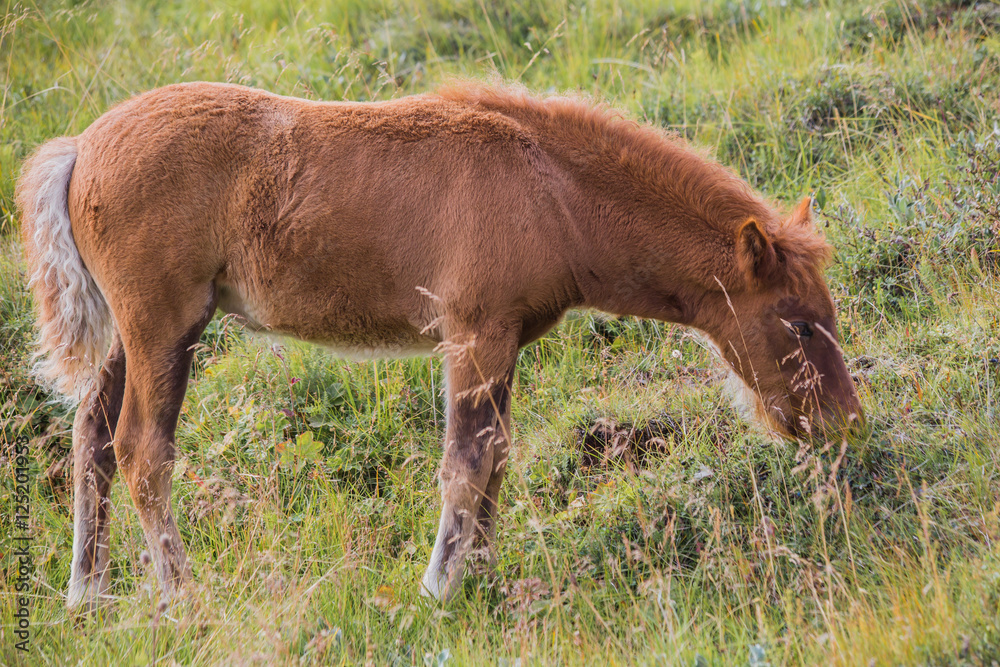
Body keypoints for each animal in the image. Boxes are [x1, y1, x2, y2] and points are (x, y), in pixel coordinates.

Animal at [15, 81, 862, 612]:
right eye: (798, 321)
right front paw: (439, 592)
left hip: (132, 338)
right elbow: (465, 464)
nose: (843, 422)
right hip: (162, 328)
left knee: (91, 436)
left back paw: (87, 594)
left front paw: (481, 579)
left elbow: (495, 459)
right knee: (141, 449)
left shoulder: (506, 343)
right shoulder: (474, 334)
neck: (550, 189)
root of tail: (82, 146)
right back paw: (181, 594)